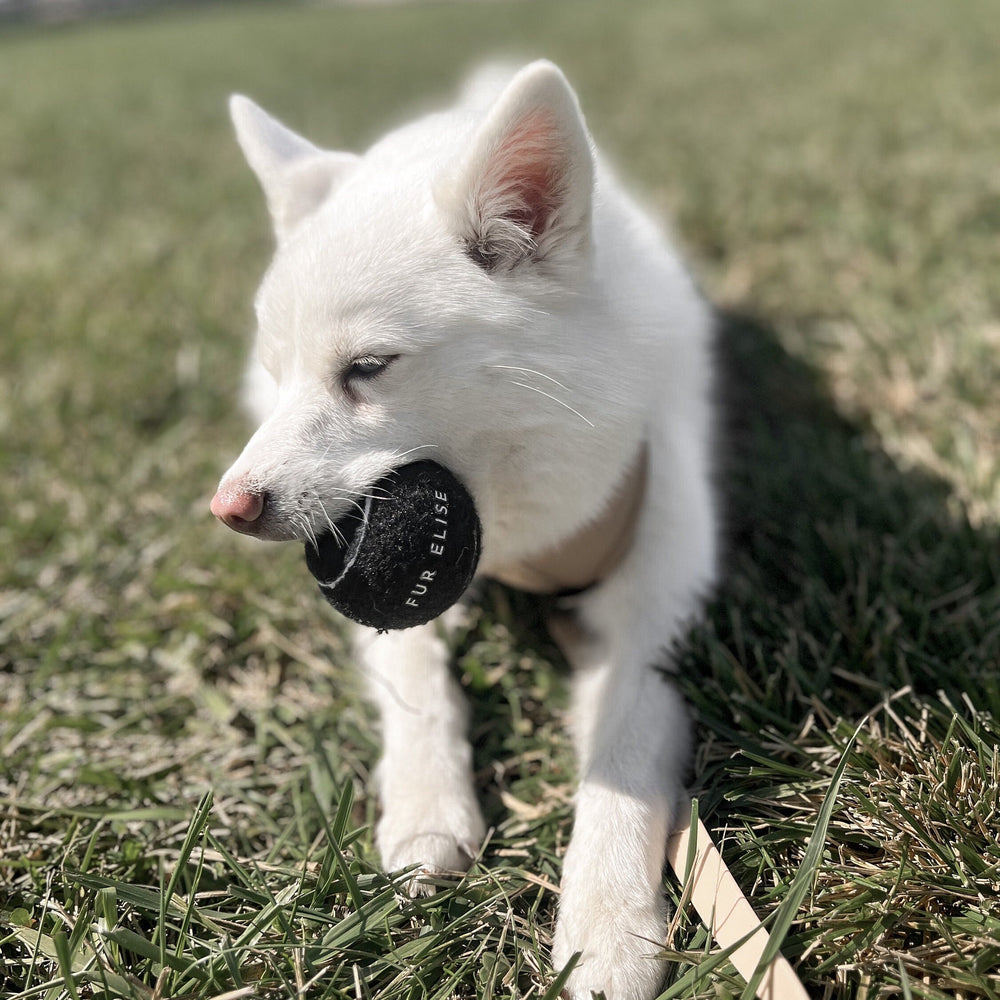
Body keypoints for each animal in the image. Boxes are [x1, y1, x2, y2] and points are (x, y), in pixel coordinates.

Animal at [211, 62, 716, 1000]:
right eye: (278, 369)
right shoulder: (394, 610)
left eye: (368, 368)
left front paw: (607, 924)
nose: (229, 507)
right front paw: (424, 806)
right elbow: (416, 677)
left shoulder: (653, 624)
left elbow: (622, 758)